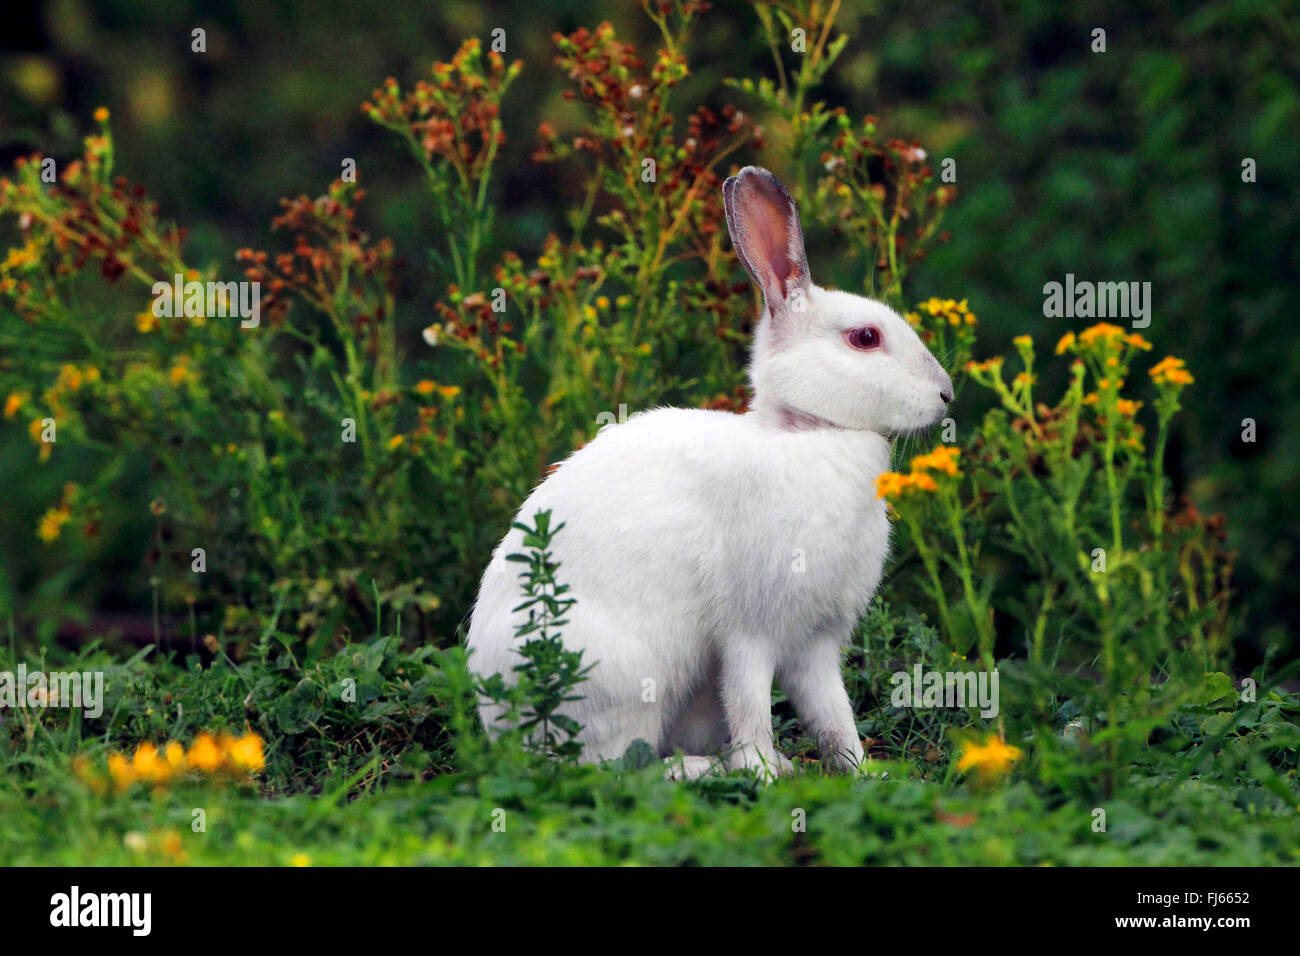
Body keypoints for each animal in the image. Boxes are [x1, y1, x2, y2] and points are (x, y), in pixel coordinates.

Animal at [466, 166, 954, 778]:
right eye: (865, 337)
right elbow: (751, 705)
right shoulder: (750, 630)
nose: (947, 394)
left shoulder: (814, 643)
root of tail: (499, 720)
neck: (807, 433)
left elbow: (832, 713)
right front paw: (765, 771)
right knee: (614, 765)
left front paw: (862, 770)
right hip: (621, 680)